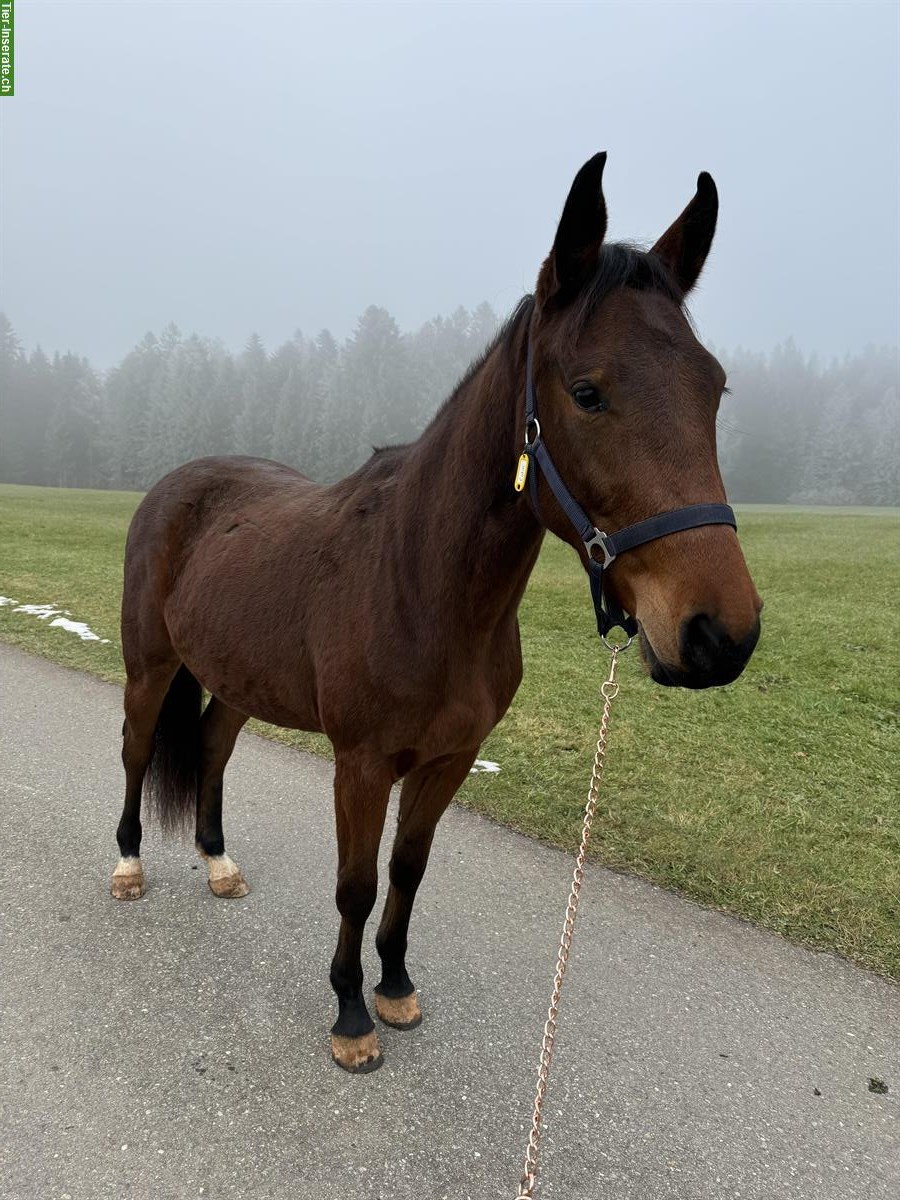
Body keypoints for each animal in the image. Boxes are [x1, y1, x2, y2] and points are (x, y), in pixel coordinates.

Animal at [111, 154, 763, 1075]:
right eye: (587, 392)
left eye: (714, 388)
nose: (719, 635)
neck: (426, 588)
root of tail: (176, 483)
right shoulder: (361, 764)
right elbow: (355, 884)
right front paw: (351, 1015)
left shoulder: (449, 759)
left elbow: (408, 872)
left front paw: (393, 986)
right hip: (150, 665)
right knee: (137, 750)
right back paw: (129, 866)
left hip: (237, 680)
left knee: (209, 748)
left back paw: (219, 864)